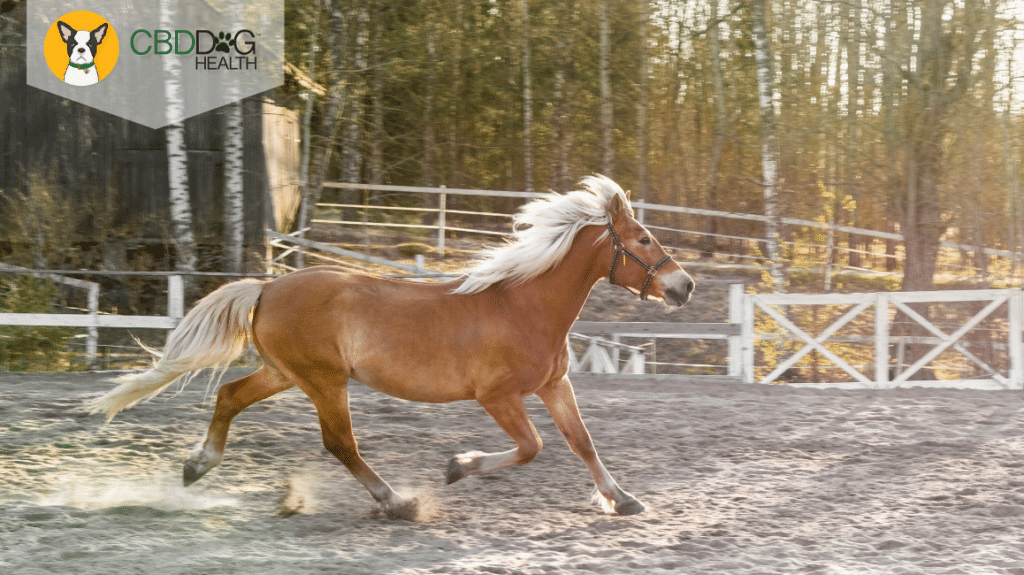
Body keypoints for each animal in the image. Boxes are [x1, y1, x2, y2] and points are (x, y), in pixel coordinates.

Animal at [87, 175, 695, 517]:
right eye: (643, 240)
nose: (684, 287)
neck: (523, 305)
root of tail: (267, 286)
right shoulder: (498, 397)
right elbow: (532, 448)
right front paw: (456, 467)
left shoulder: (554, 384)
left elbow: (582, 443)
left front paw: (623, 500)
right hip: (324, 381)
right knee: (340, 444)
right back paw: (398, 502)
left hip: (286, 374)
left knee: (231, 397)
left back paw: (196, 468)